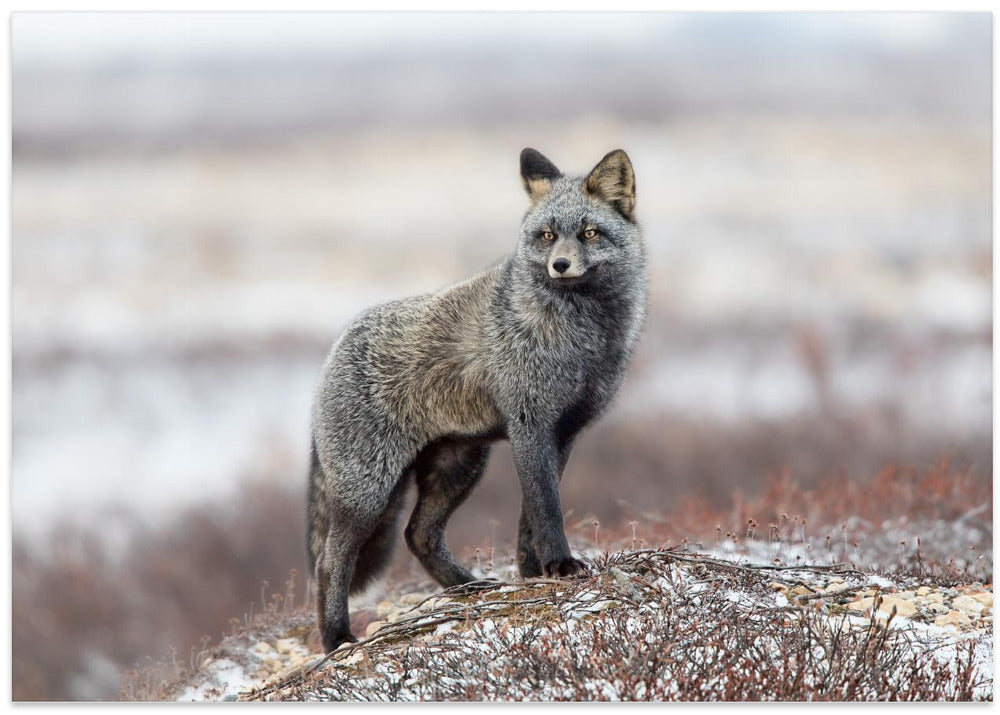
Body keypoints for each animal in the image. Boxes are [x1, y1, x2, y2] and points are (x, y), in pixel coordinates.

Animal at [307, 147, 647, 652]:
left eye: (589, 233)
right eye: (547, 236)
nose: (560, 266)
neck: (581, 338)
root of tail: (333, 349)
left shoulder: (563, 432)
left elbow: (530, 517)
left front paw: (534, 574)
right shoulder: (530, 424)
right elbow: (547, 508)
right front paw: (560, 566)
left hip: (459, 468)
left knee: (418, 535)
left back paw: (468, 588)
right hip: (370, 491)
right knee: (329, 563)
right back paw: (337, 639)